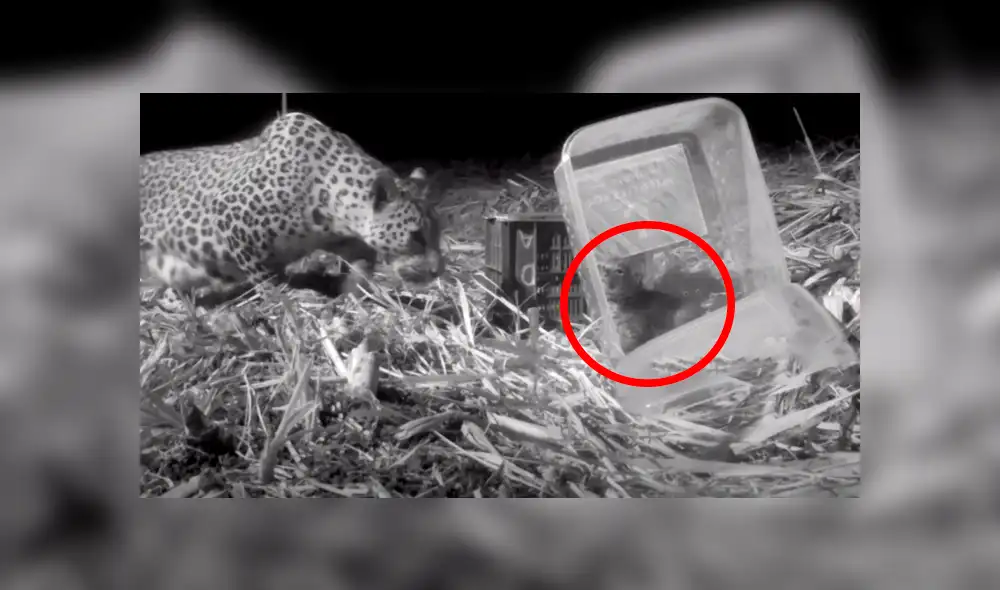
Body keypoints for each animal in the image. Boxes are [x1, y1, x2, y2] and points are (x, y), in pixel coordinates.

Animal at [140, 111, 447, 309]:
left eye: (438, 233)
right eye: (416, 236)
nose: (439, 271)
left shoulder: (350, 242)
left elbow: (360, 268)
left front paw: (352, 295)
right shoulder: (230, 216)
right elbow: (264, 276)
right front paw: (285, 299)